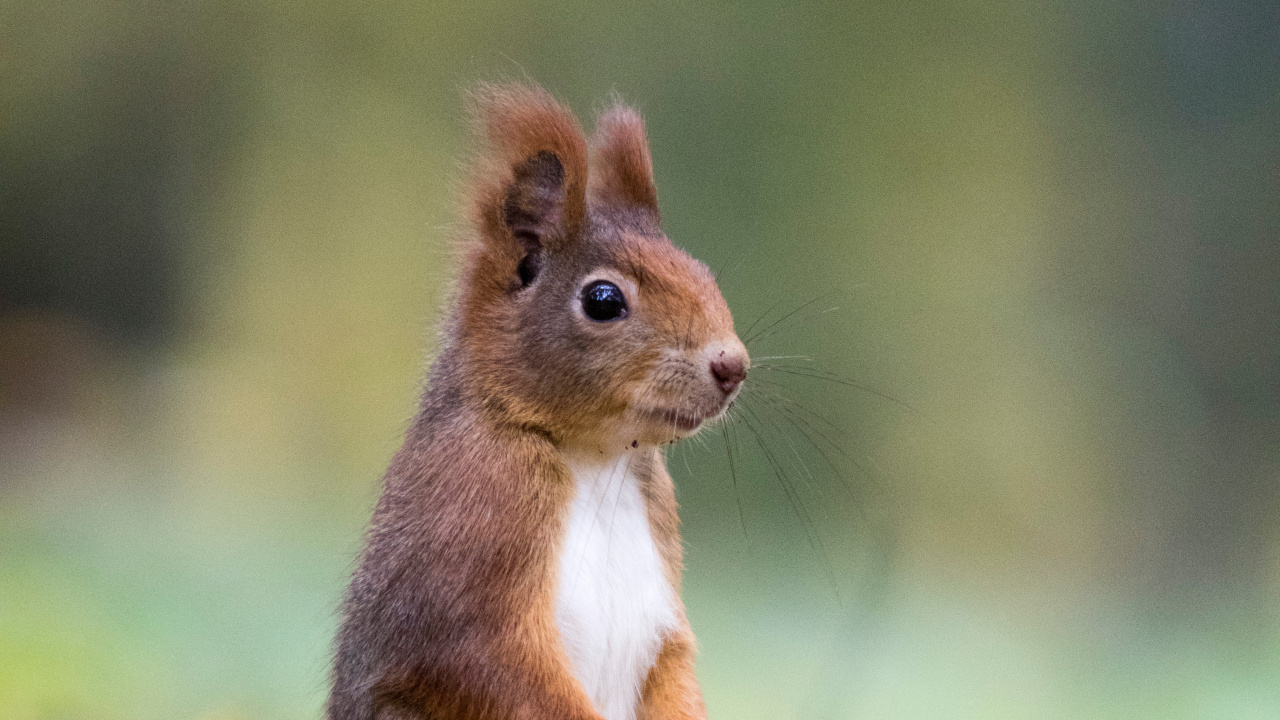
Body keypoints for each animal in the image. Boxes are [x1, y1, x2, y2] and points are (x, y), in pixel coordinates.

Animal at [327, 83, 749, 720]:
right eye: (603, 300)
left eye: (701, 271)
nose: (733, 365)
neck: (596, 459)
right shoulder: (474, 504)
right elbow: (484, 663)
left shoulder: (665, 582)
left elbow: (674, 668)